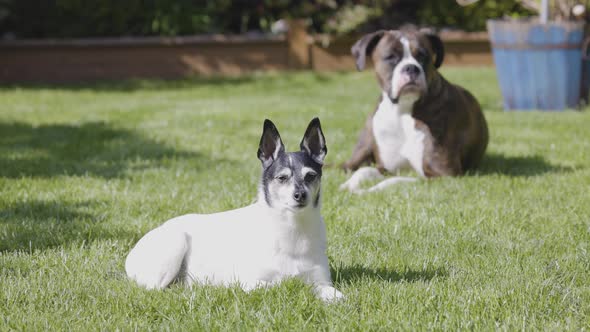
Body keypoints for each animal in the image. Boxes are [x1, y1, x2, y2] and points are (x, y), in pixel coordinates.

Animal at [127, 118, 344, 302]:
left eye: (310, 176)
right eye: (282, 178)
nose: (300, 195)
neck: (293, 227)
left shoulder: (321, 281)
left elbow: (334, 294)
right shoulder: (251, 282)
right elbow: (280, 285)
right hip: (176, 243)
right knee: (155, 289)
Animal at [342, 27, 490, 193]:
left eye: (423, 56)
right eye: (391, 57)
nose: (411, 68)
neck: (402, 110)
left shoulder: (442, 175)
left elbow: (394, 180)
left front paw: (369, 190)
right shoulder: (385, 168)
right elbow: (365, 170)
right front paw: (350, 184)